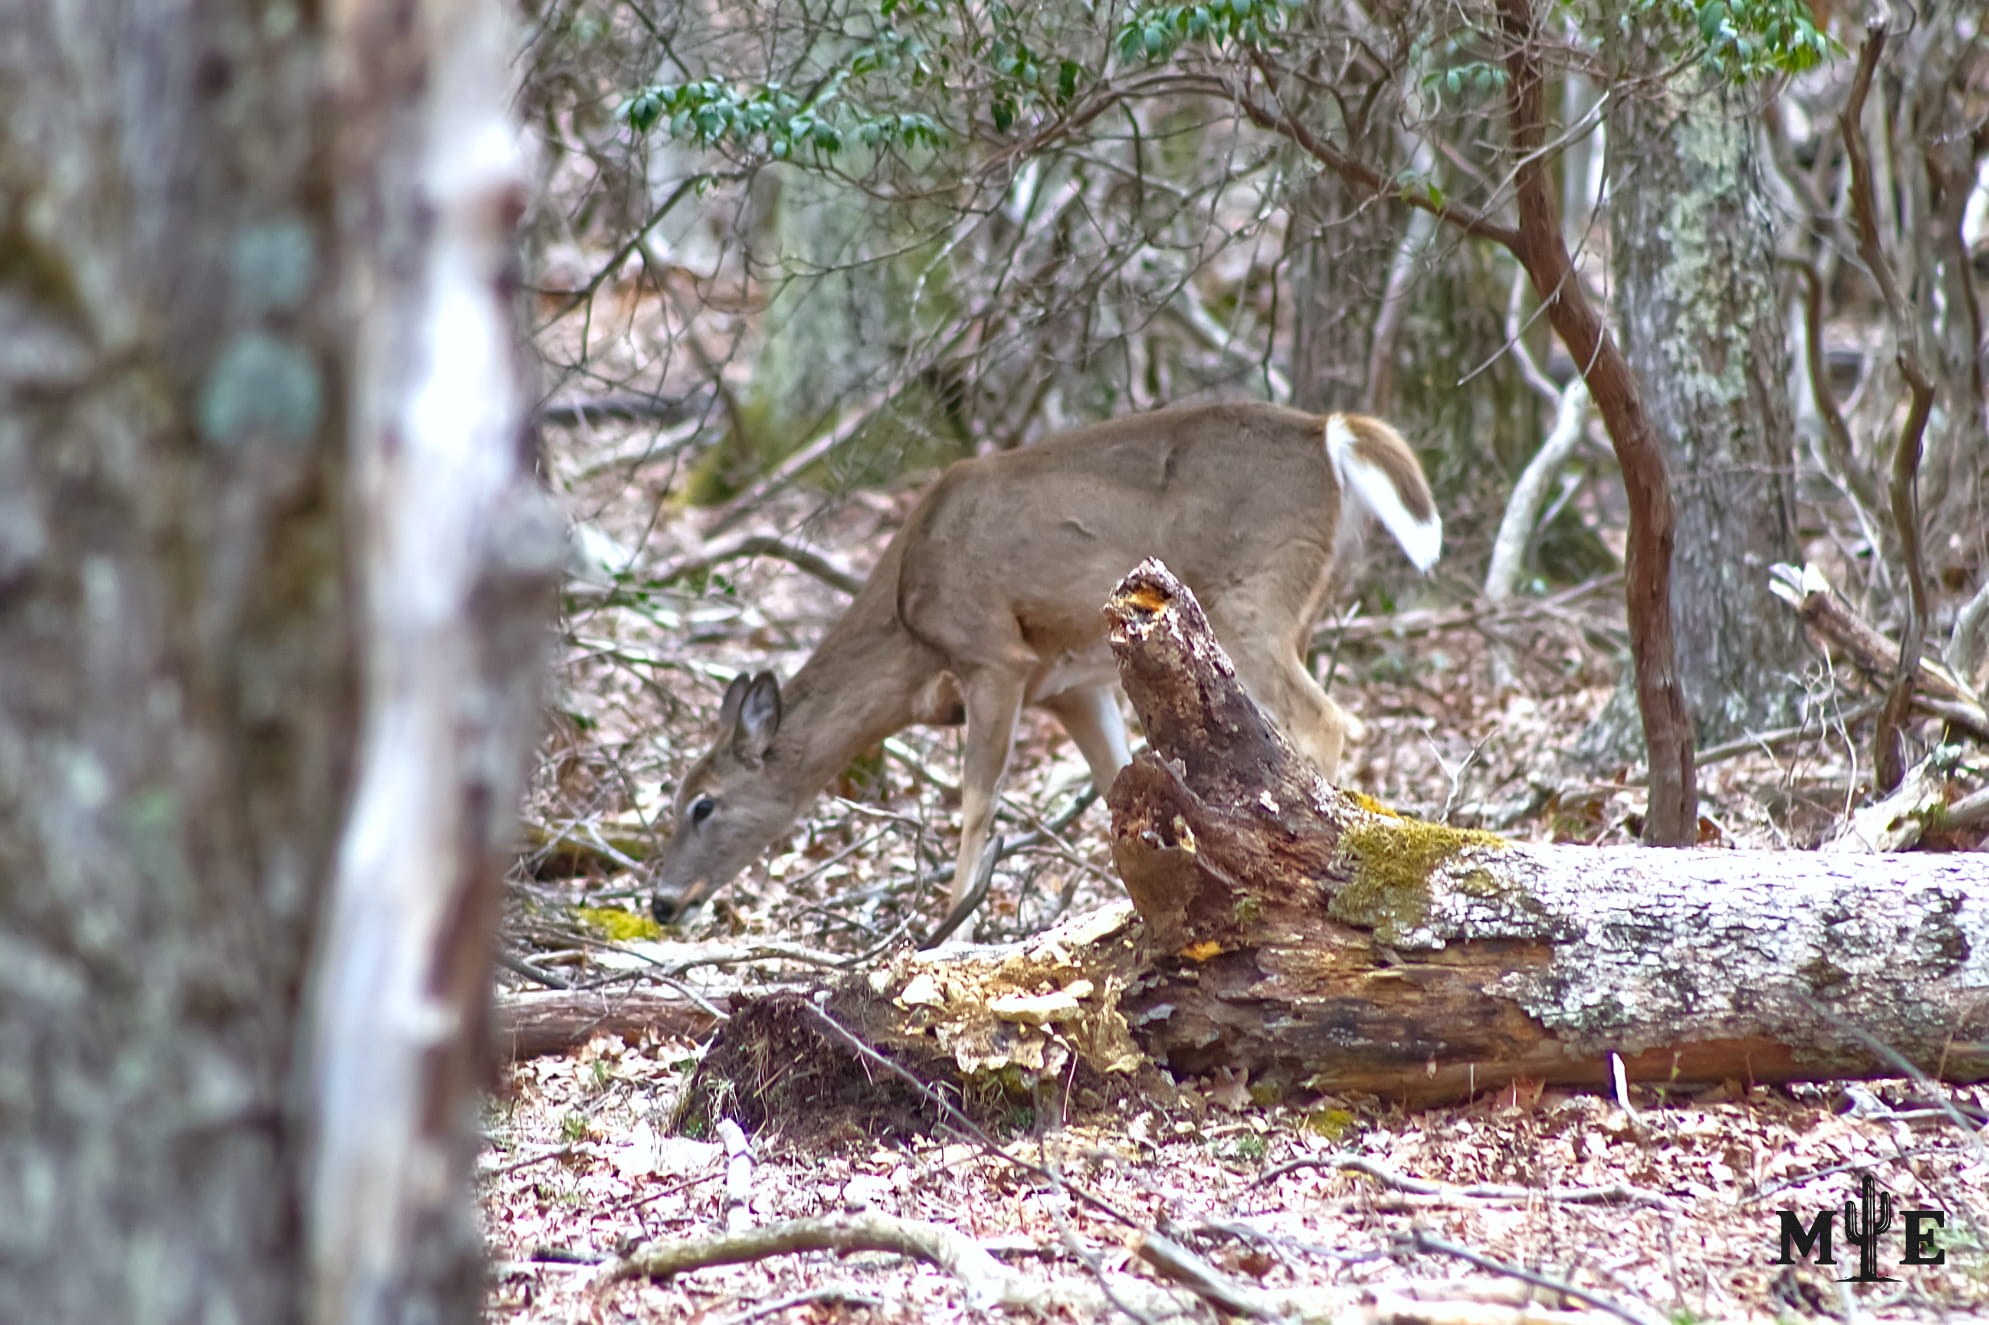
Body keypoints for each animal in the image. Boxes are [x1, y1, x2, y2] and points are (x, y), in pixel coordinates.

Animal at [650, 401, 1441, 931]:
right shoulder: (1072, 687)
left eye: (703, 803)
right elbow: (1117, 782)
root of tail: (1327, 433)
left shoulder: (992, 653)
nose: (660, 902)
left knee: (1327, 718)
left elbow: (976, 800)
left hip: (1252, 595)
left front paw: (955, 930)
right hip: (1291, 604)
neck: (908, 632)